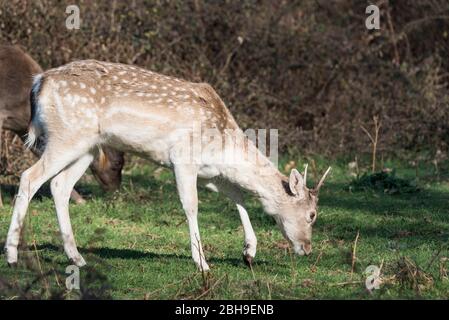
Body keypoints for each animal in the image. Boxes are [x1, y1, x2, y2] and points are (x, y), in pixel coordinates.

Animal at [5, 59, 330, 270]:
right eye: (312, 215)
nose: (307, 248)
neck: (224, 147)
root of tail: (38, 83)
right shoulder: (183, 159)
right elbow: (191, 206)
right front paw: (202, 263)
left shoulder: (210, 173)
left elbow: (238, 196)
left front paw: (248, 251)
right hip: (66, 136)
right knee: (29, 177)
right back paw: (11, 255)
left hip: (86, 148)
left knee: (59, 185)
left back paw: (77, 258)